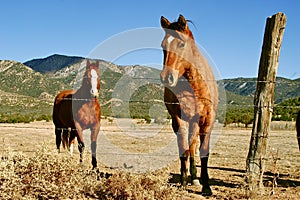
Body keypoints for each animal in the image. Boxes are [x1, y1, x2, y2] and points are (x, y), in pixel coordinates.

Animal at [161, 15, 219, 195]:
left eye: (181, 44)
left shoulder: (208, 120)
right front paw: (183, 181)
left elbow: (204, 152)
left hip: (196, 122)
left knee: (193, 145)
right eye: (163, 45)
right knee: (189, 147)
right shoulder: (179, 119)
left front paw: (207, 187)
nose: (166, 78)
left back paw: (195, 178)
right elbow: (183, 149)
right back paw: (190, 177)